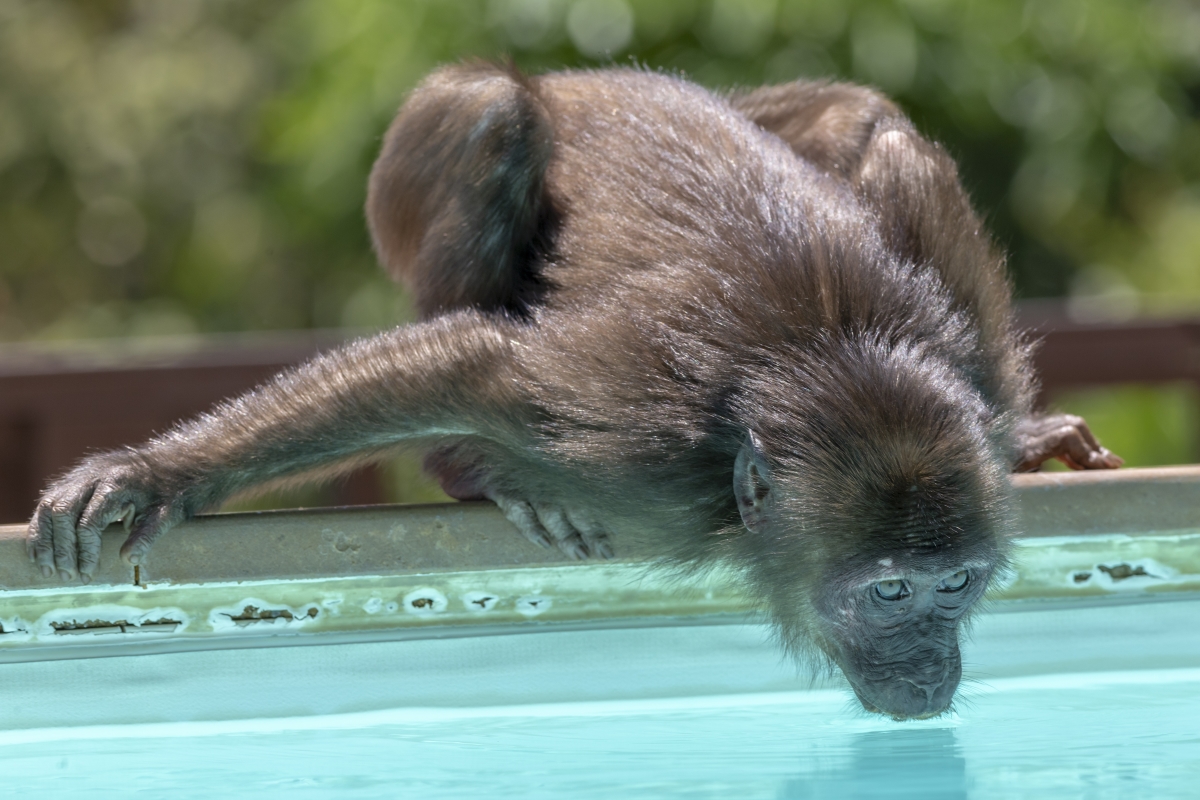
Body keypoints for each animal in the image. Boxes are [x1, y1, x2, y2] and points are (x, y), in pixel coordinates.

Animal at [28, 64, 1118, 719]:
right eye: (889, 592)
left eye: (955, 586)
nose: (930, 666)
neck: (824, 365)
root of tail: (579, 76)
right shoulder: (644, 455)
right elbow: (468, 366)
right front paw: (151, 471)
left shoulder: (964, 392)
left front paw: (1026, 438)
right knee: (491, 116)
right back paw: (467, 470)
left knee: (870, 126)